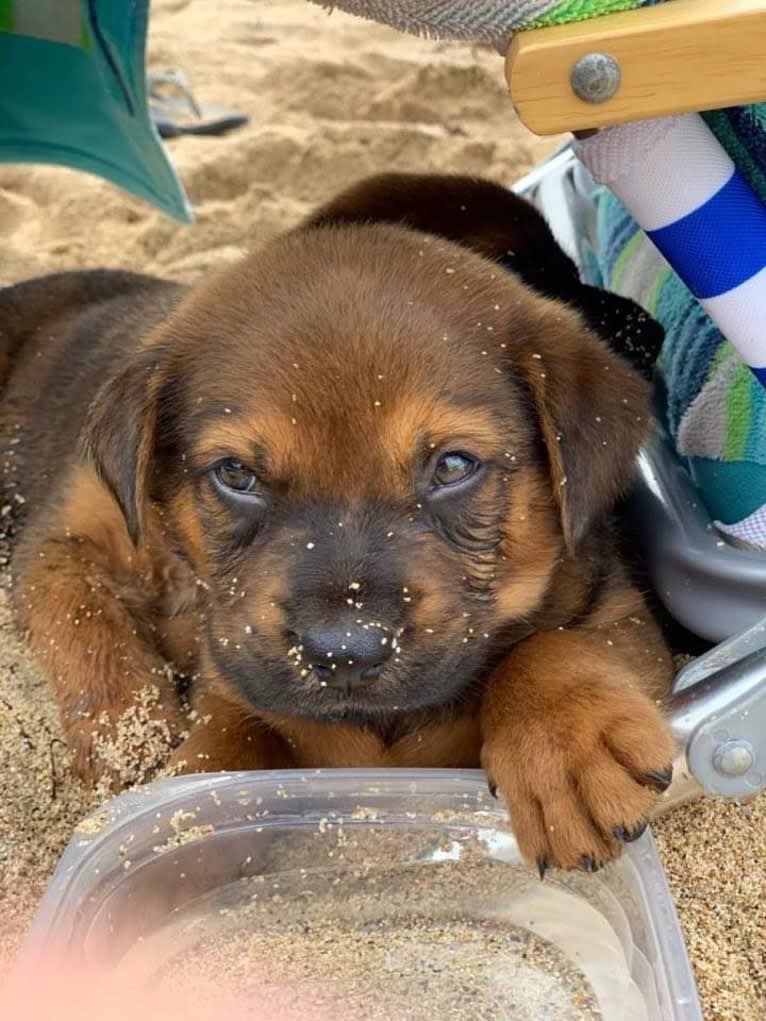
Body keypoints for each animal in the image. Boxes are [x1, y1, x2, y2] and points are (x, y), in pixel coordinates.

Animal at [0, 173, 669, 869]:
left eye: (454, 466)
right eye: (235, 474)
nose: (344, 653)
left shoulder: (620, 611)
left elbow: (553, 643)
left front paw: (564, 745)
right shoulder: (83, 553)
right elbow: (198, 737)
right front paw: (154, 797)